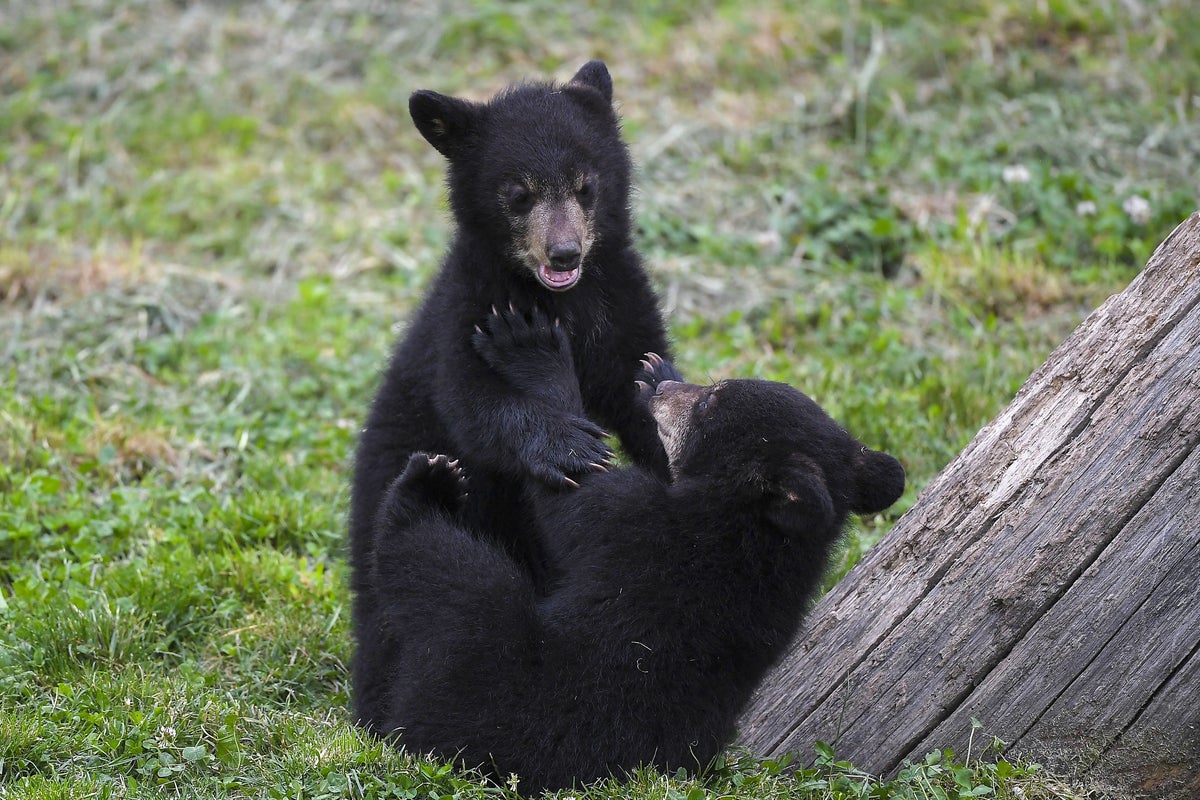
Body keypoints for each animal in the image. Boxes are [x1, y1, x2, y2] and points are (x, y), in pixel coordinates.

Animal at [349, 62, 677, 730]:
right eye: (519, 193)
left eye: (586, 186)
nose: (565, 253)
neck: (562, 301)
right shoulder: (468, 310)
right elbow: (474, 402)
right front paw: (568, 447)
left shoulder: (621, 302)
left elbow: (642, 383)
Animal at [359, 306, 906, 794]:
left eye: (711, 402)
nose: (667, 389)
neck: (749, 529)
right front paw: (651, 368)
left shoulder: (643, 525)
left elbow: (578, 503)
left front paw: (533, 351)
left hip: (487, 663)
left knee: (441, 569)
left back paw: (425, 487)